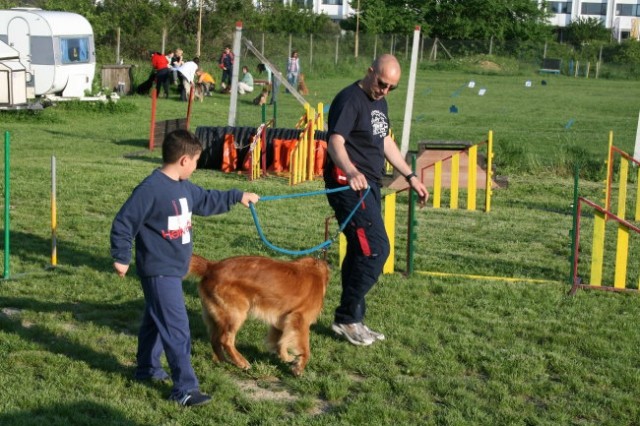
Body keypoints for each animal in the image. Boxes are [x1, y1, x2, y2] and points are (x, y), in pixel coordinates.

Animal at [189, 253, 330, 376]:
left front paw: (285, 357)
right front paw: (299, 367)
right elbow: (305, 348)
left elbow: (281, 341)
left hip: (216, 316)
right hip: (236, 314)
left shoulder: (283, 320)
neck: (316, 272)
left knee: (214, 339)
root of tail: (211, 266)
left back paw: (223, 360)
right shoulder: (301, 319)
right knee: (225, 340)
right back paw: (241, 362)